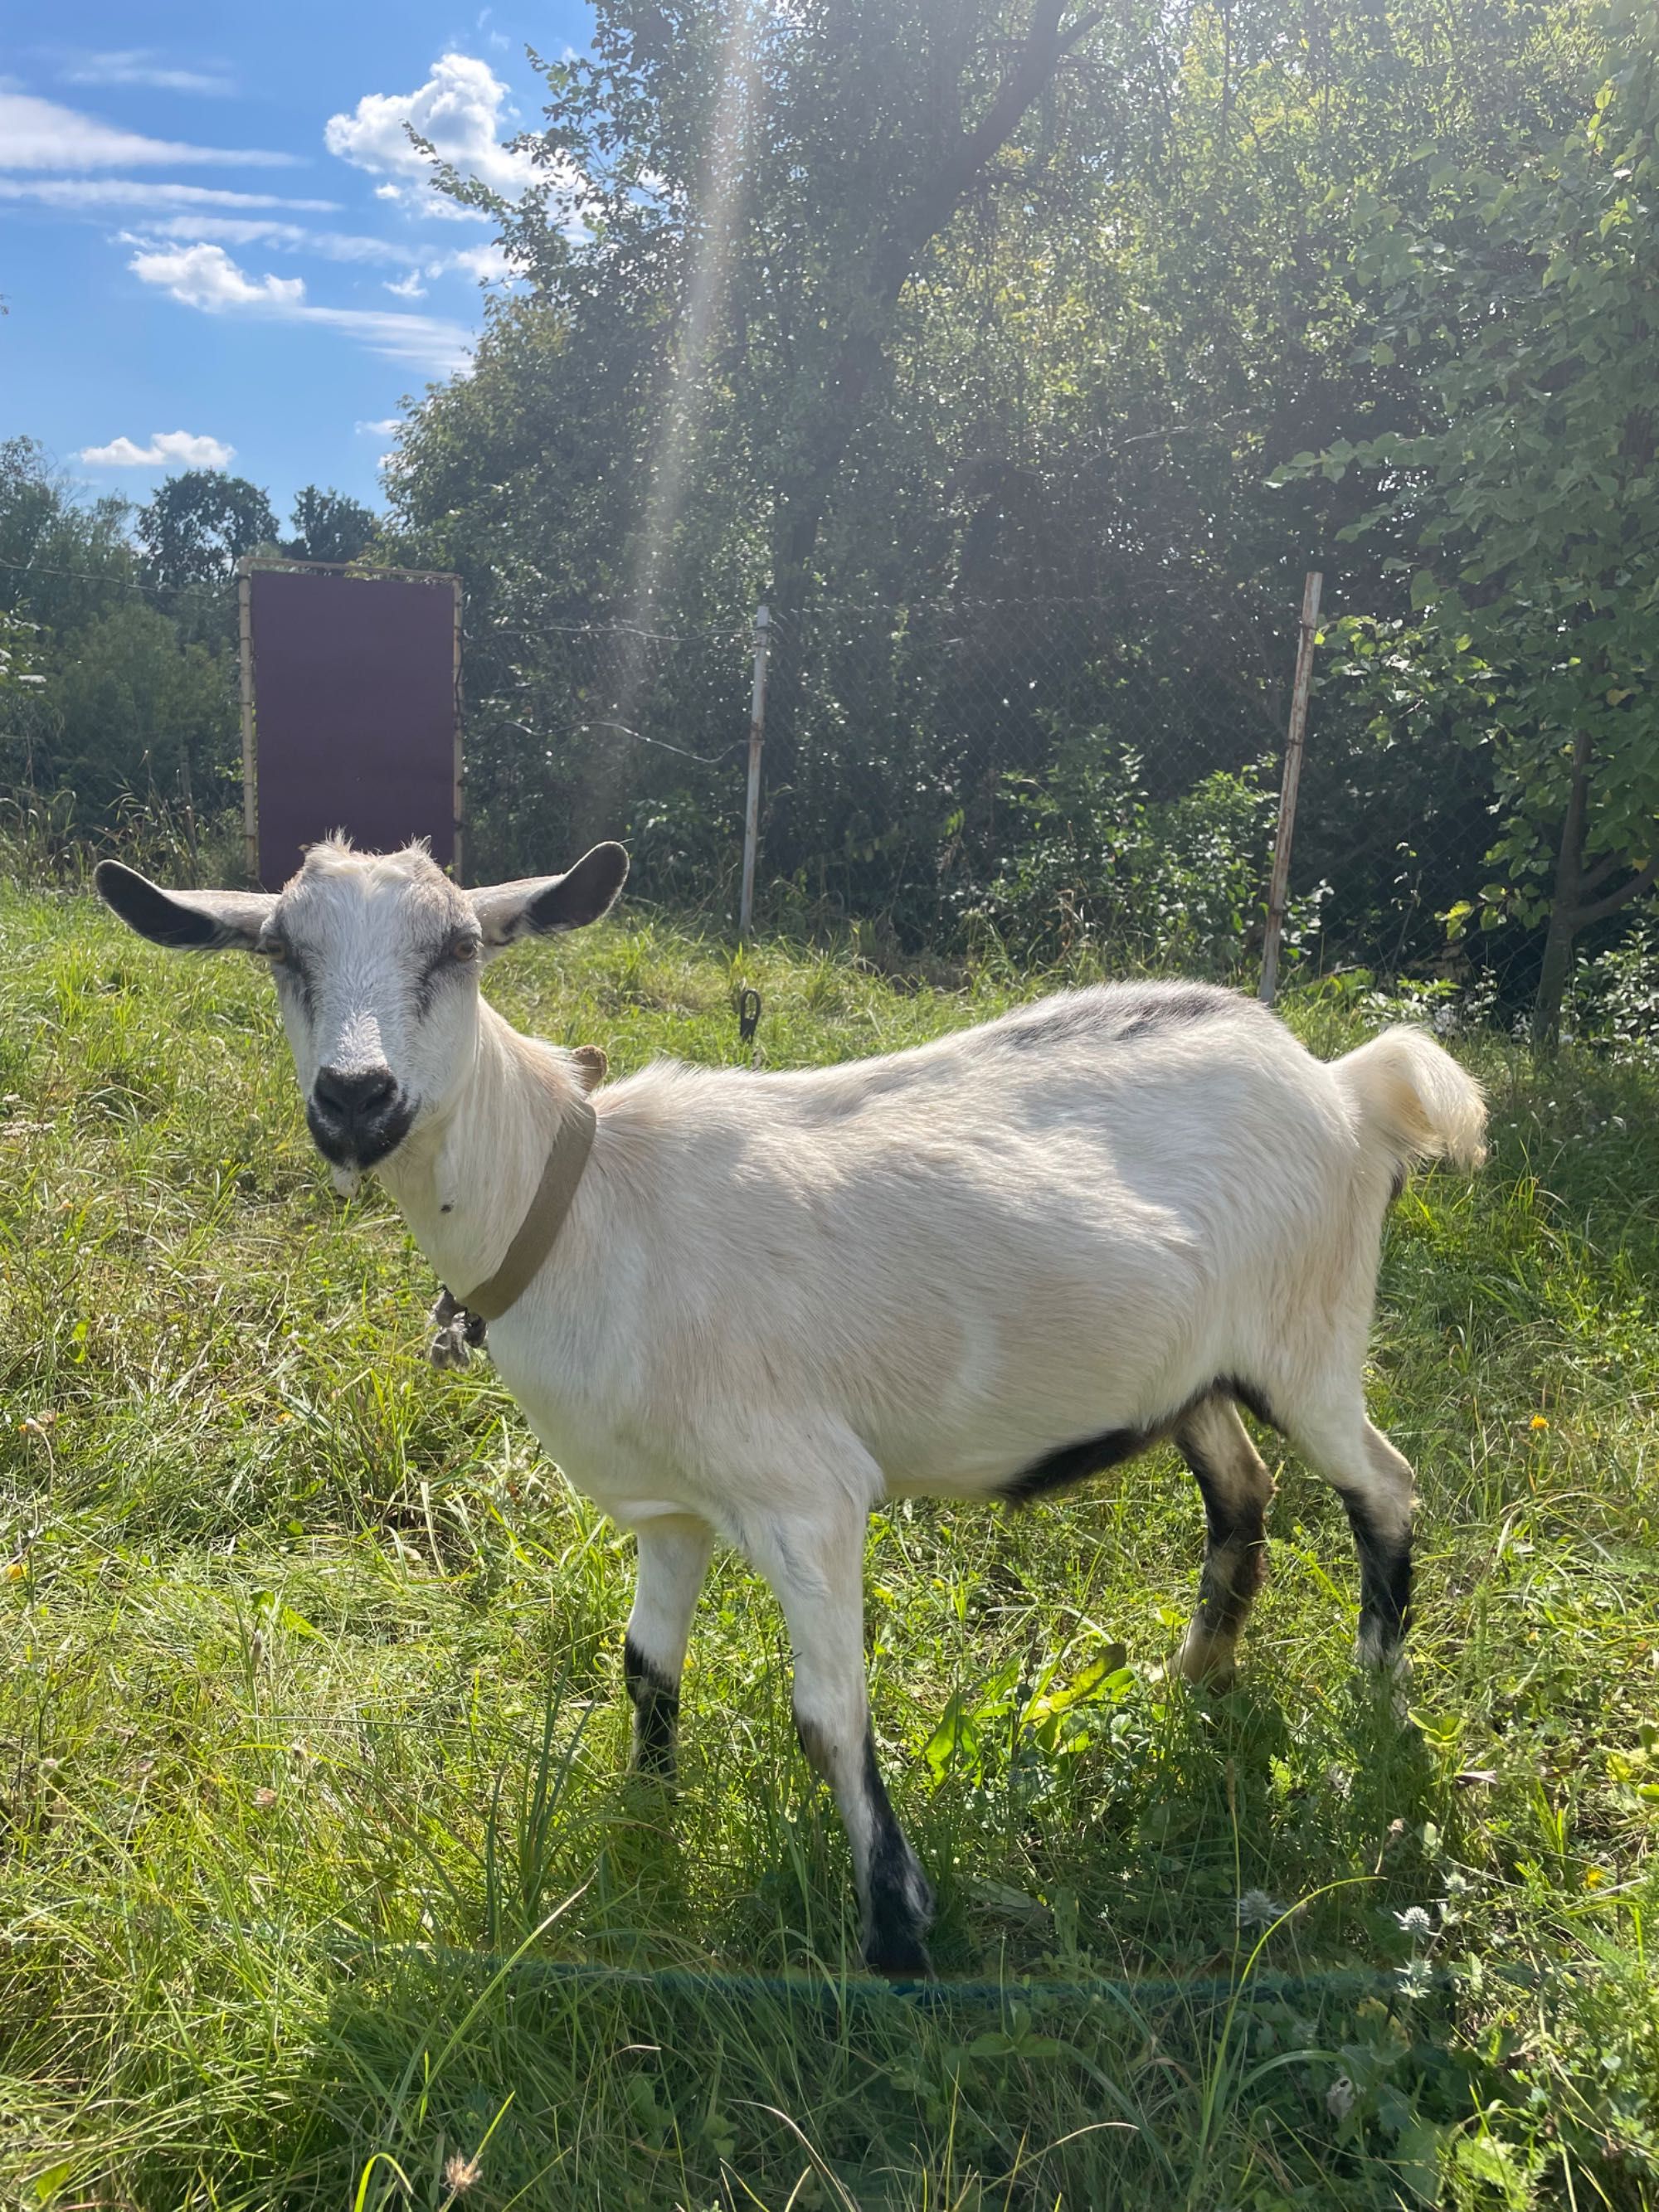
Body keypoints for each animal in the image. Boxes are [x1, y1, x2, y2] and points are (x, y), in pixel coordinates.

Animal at [97, 840, 1486, 1972]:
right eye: (283, 950)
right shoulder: (671, 1507)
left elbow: (829, 1715)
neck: (587, 1203)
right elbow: (645, 1666)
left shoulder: (805, 1493)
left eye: (460, 944)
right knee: (1242, 1492)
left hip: (1311, 1334)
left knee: (1385, 1490)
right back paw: (1191, 1678)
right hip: (1189, 1370)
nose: (357, 1097)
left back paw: (1372, 1708)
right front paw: (644, 1833)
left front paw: (898, 1938)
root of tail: (1343, 1083)